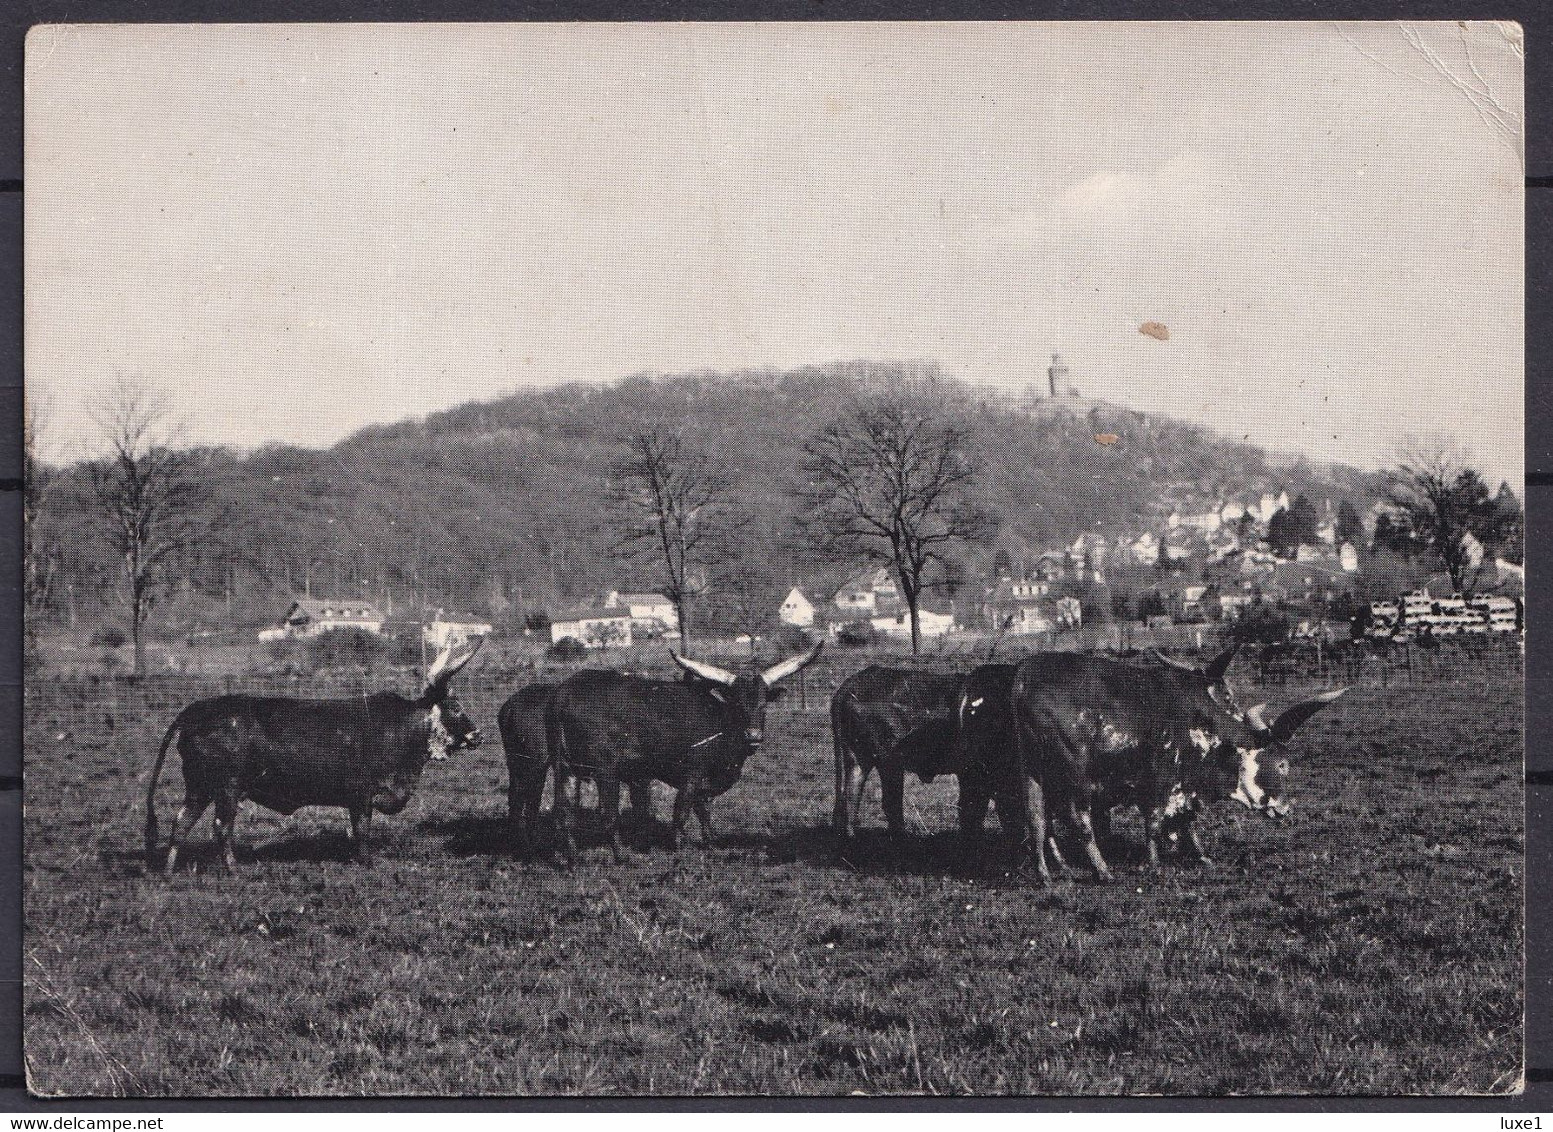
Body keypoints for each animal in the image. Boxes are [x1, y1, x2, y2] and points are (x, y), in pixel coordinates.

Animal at [146, 639, 484, 869]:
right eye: (455, 707)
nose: (479, 735)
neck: (403, 727)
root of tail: (198, 710)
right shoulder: (360, 795)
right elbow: (362, 830)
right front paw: (365, 860)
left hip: (200, 787)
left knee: (181, 823)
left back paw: (169, 871)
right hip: (227, 788)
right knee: (221, 827)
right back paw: (232, 869)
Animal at [543, 645, 819, 857]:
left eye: (763, 705)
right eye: (737, 703)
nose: (753, 736)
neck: (720, 722)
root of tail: (563, 695)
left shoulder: (703, 785)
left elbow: (704, 814)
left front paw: (711, 844)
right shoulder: (691, 775)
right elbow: (681, 814)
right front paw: (678, 849)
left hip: (563, 767)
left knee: (562, 811)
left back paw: (572, 858)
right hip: (606, 771)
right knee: (607, 813)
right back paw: (621, 856)